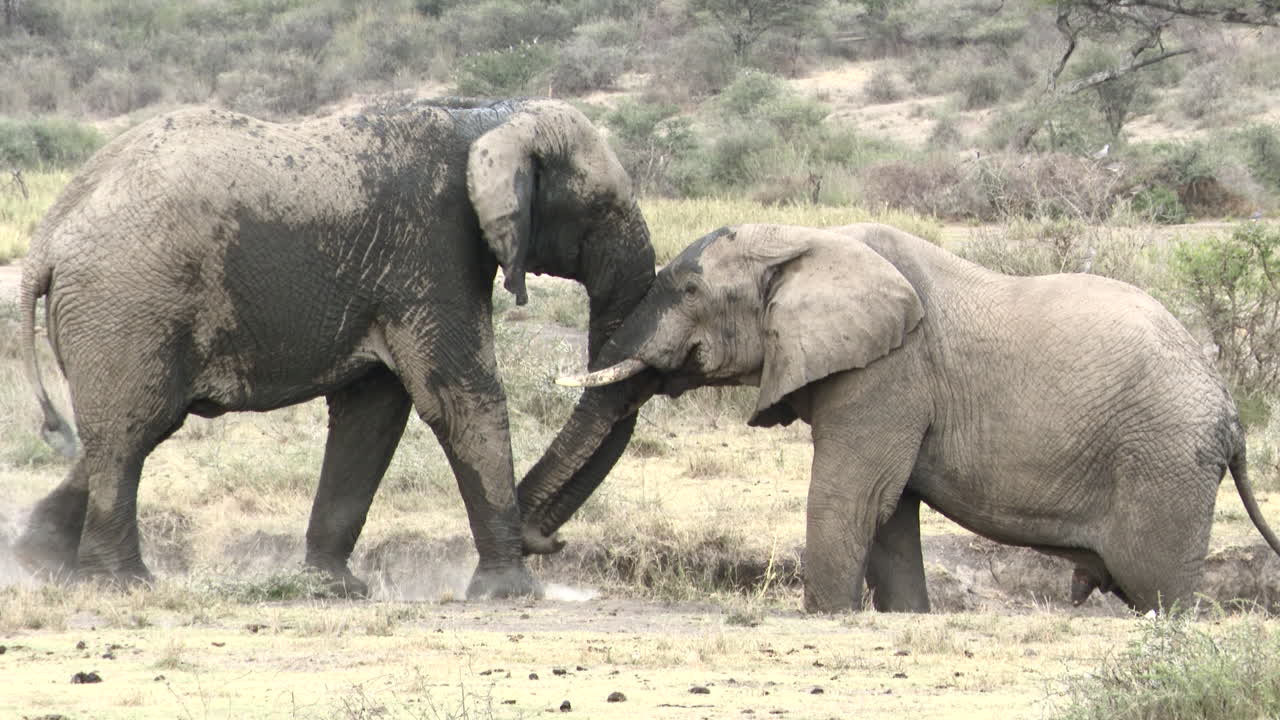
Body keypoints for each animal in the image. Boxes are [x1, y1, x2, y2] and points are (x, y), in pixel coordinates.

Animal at [14, 97, 658, 599]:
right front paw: (512, 593)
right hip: (127, 303)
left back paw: (40, 560)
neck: (486, 120)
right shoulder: (431, 251)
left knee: (129, 429)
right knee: (131, 432)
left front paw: (333, 588)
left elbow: (371, 416)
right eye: (602, 209)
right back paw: (122, 583)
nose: (549, 539)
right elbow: (460, 400)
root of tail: (50, 236)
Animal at [556, 222, 1280, 613]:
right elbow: (890, 513)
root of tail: (1231, 416)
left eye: (688, 290)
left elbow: (851, 497)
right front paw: (906, 615)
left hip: (1165, 463)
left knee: (1161, 590)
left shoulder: (888, 371)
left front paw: (824, 617)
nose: (549, 545)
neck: (807, 240)